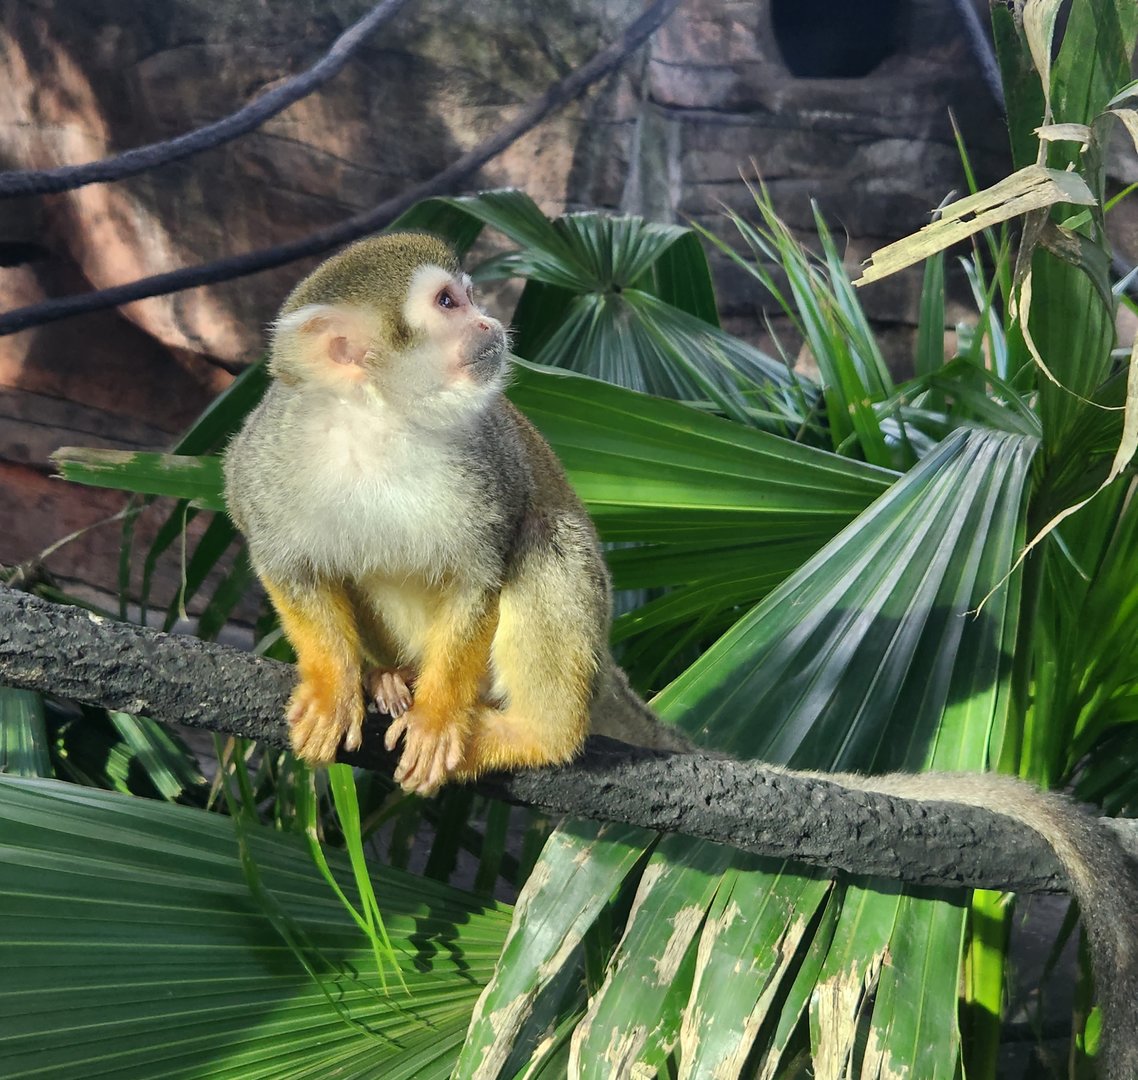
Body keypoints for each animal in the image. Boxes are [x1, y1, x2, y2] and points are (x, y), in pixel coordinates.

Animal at [223, 231, 1136, 1078]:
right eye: (446, 303)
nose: (488, 323)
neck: (379, 424)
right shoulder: (267, 461)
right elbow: (287, 564)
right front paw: (334, 683)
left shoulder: (482, 463)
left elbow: (481, 573)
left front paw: (442, 720)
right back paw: (387, 680)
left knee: (541, 542)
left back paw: (531, 731)